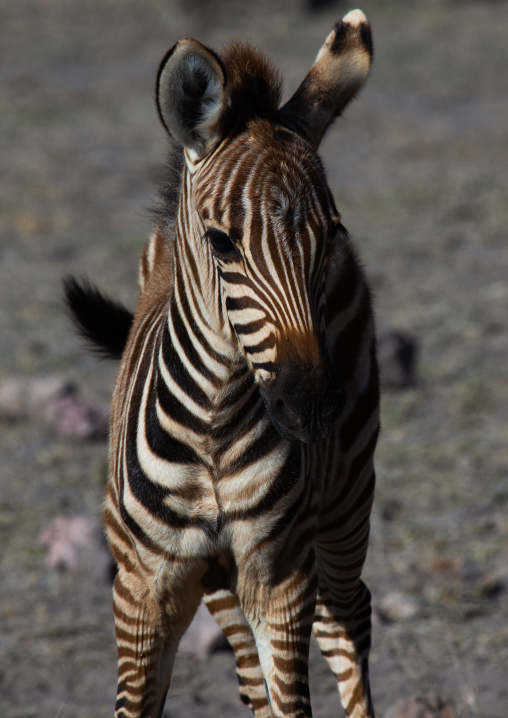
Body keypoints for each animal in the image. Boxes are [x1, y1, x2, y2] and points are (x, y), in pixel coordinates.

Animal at [65, 9, 379, 718]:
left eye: (333, 234)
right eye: (220, 243)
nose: (311, 407)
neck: (212, 423)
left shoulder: (281, 574)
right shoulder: (142, 590)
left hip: (346, 499)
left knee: (347, 624)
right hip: (220, 579)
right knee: (250, 674)